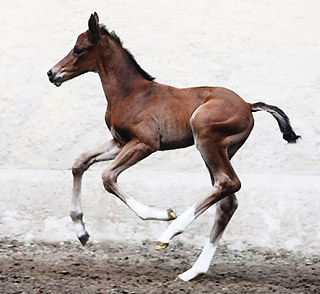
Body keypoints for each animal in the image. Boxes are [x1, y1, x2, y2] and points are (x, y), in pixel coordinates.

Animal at [47, 12, 300, 282]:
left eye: (78, 49)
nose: (52, 73)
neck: (130, 93)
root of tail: (248, 105)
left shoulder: (146, 143)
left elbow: (107, 177)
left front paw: (164, 214)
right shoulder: (120, 142)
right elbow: (80, 162)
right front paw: (81, 232)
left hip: (205, 138)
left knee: (228, 183)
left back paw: (169, 233)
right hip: (221, 151)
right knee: (227, 202)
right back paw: (193, 271)